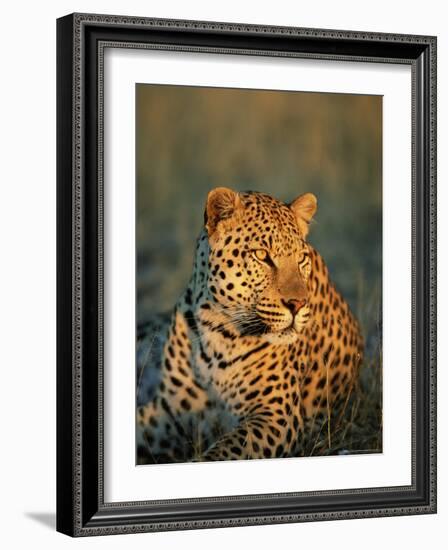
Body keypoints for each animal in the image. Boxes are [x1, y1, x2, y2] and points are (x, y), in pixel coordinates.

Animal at [136, 188, 364, 464]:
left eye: (302, 258)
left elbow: (224, 451)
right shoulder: (170, 410)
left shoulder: (276, 415)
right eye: (262, 255)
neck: (218, 327)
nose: (298, 304)